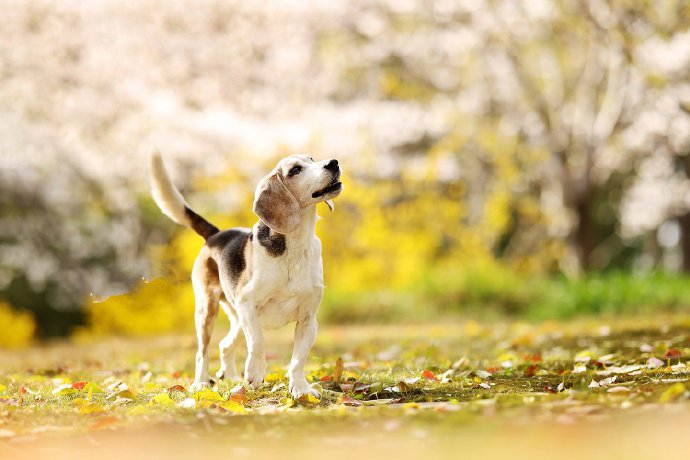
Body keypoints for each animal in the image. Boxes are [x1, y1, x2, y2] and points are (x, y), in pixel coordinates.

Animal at [152, 153, 342, 398]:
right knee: (203, 352)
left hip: (238, 318)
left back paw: (232, 378)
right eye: (295, 170)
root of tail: (216, 234)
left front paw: (301, 390)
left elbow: (298, 359)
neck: (296, 244)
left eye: (312, 158)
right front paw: (255, 373)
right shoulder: (247, 302)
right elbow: (258, 342)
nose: (333, 163)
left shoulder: (308, 319)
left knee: (225, 345)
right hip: (208, 310)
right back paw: (201, 383)